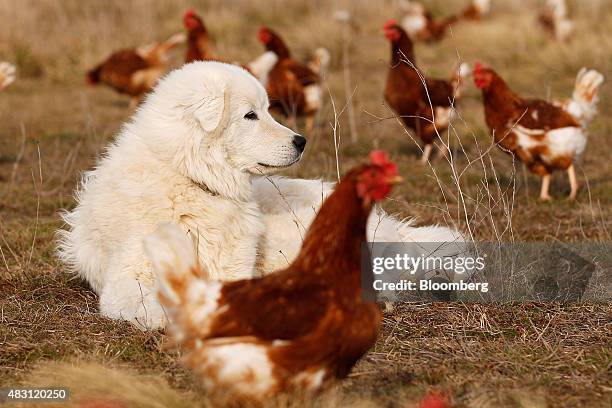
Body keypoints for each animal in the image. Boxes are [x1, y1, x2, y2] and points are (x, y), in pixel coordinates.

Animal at [58, 61, 460, 328]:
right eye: (250, 115)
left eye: (268, 110)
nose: (301, 141)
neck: (191, 178)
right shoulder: (129, 279)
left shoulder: (235, 266)